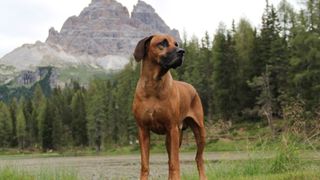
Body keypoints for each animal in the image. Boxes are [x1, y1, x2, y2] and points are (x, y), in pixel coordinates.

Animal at [132, 34, 208, 180]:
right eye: (162, 43)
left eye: (176, 44)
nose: (182, 51)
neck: (153, 85)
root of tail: (192, 87)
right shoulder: (143, 130)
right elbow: (145, 165)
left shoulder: (172, 128)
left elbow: (175, 163)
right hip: (171, 137)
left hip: (199, 131)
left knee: (198, 158)